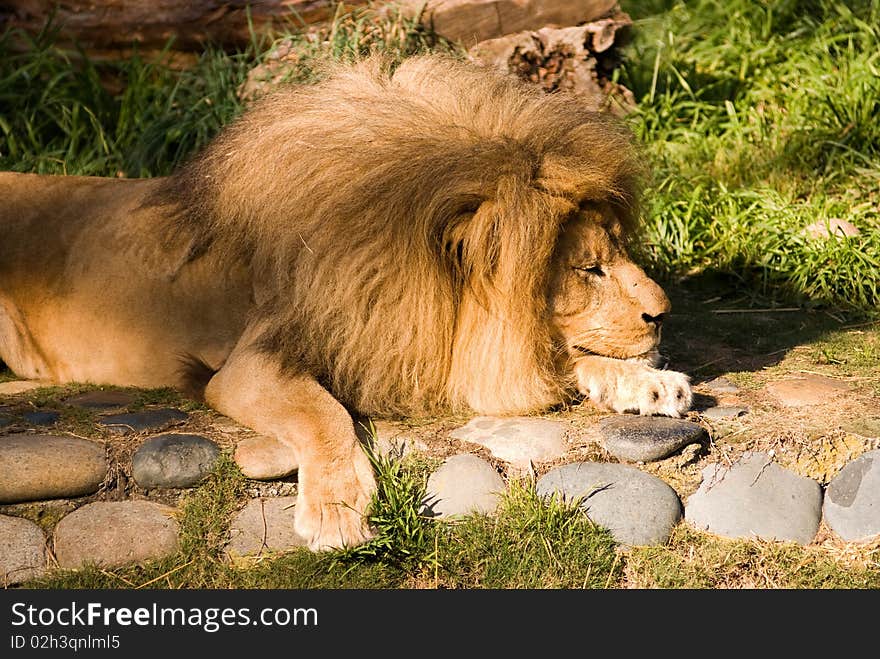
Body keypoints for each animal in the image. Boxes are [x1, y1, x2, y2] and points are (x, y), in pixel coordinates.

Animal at [0, 55, 692, 552]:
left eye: (615, 255)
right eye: (589, 269)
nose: (664, 313)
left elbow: (562, 359)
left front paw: (648, 383)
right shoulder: (248, 365)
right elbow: (322, 413)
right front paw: (335, 510)